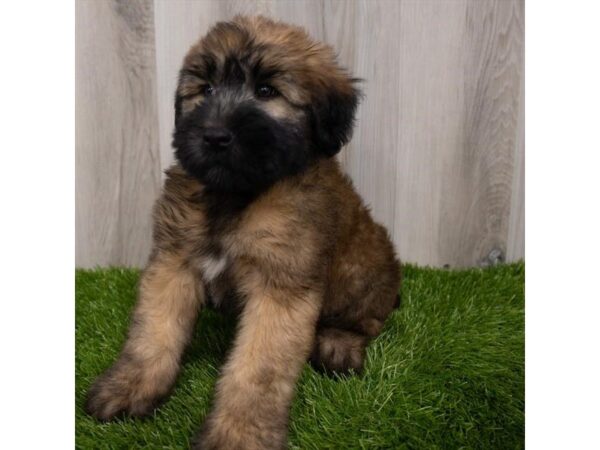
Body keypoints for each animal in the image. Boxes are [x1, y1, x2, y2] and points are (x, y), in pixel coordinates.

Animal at [84, 14, 400, 450]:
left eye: (266, 91)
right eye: (206, 89)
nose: (214, 136)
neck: (235, 195)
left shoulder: (280, 286)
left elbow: (257, 368)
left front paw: (240, 434)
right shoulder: (173, 261)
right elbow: (152, 331)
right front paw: (130, 385)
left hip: (362, 270)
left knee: (369, 319)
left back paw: (339, 344)